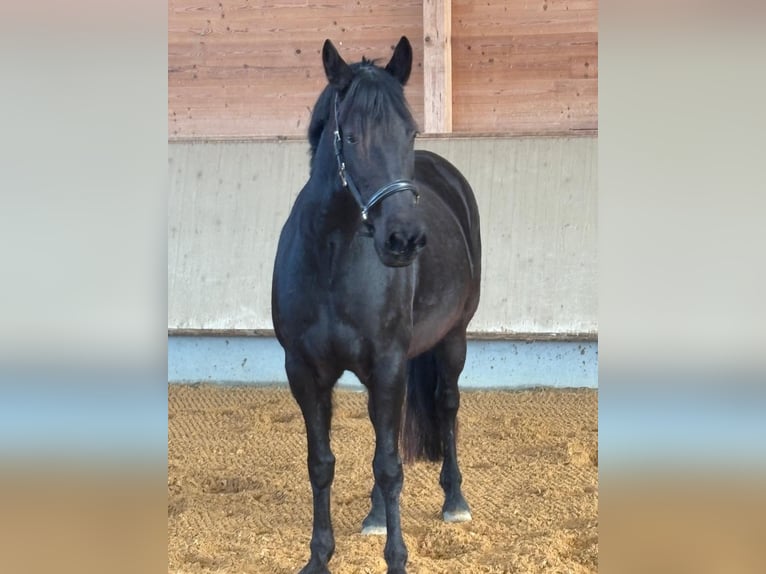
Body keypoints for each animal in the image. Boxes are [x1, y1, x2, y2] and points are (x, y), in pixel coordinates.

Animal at [271, 36, 481, 574]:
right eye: (351, 135)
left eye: (409, 131)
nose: (403, 239)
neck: (331, 260)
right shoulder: (304, 372)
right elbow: (321, 463)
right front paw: (319, 556)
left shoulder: (388, 365)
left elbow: (389, 466)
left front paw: (397, 559)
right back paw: (374, 516)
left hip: (454, 338)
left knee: (447, 405)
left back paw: (455, 501)